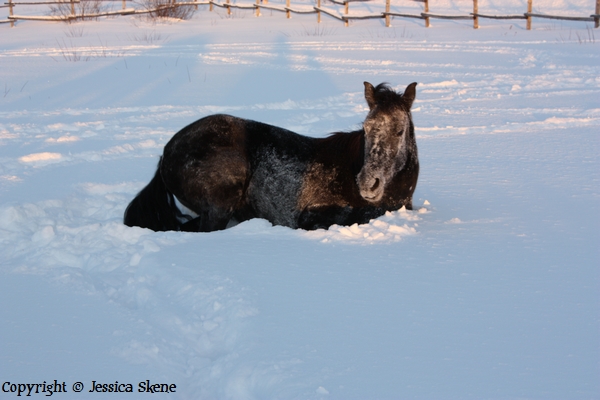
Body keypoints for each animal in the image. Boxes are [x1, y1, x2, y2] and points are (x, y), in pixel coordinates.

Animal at [124, 81, 420, 231]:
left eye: (399, 130)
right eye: (366, 128)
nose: (368, 183)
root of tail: (167, 152)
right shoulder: (311, 216)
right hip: (219, 206)